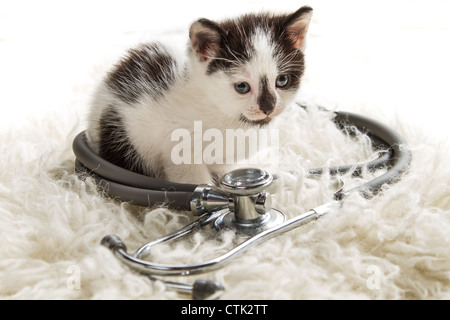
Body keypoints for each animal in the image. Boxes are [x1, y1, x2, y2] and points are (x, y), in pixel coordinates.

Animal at [87, 6, 312, 184]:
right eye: (242, 86)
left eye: (282, 81)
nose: (268, 107)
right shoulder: (179, 147)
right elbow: (193, 179)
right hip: (122, 134)